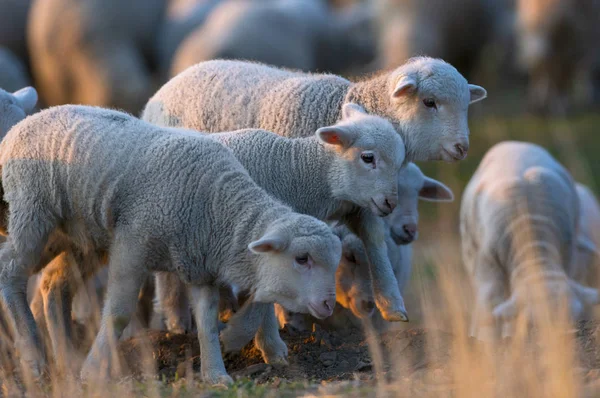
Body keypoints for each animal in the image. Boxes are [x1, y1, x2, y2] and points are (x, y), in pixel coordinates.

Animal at [0, 104, 340, 384]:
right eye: (302, 258)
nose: (328, 305)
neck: (217, 206)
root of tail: (20, 126)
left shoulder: (200, 265)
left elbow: (206, 320)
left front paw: (215, 374)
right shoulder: (132, 245)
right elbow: (119, 313)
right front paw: (93, 370)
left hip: (72, 234)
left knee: (53, 284)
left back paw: (64, 360)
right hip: (32, 209)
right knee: (9, 269)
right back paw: (33, 357)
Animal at [155, 103, 408, 366]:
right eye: (368, 157)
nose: (391, 203)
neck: (294, 172)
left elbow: (374, 240)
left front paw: (391, 304)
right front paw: (260, 344)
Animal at [460, 141, 600, 340]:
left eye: (573, 319)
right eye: (532, 324)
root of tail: (515, 143)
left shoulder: (569, 253)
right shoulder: (486, 263)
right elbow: (491, 300)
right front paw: (487, 338)